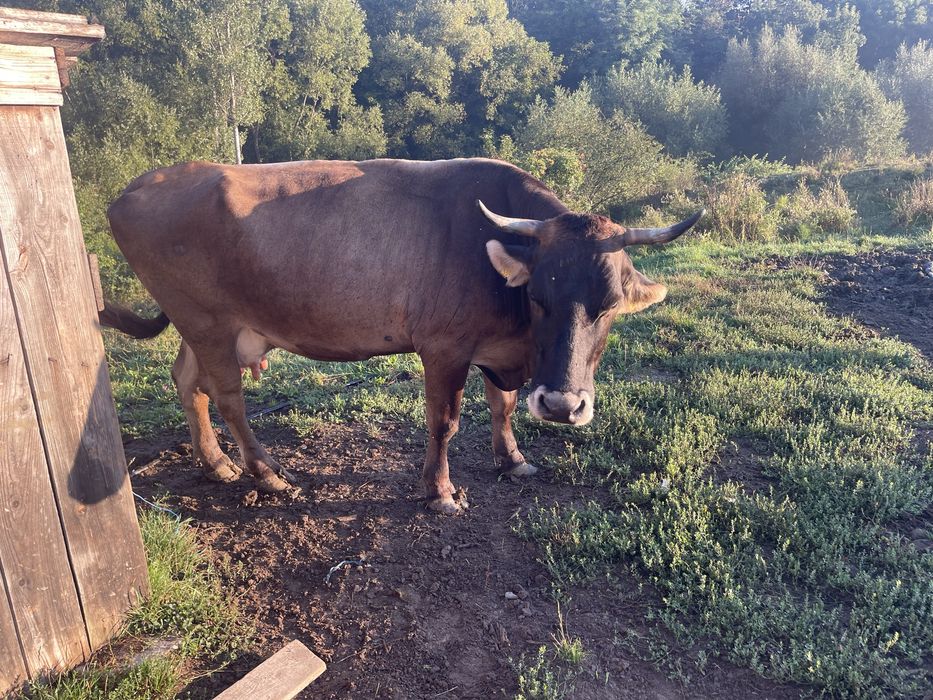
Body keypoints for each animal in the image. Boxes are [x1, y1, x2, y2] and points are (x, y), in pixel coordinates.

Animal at [101, 158, 702, 514]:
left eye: (611, 306)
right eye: (537, 297)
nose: (560, 405)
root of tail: (141, 184)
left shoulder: (495, 350)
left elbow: (503, 406)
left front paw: (512, 459)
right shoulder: (444, 347)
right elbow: (445, 421)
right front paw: (439, 491)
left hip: (204, 326)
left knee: (188, 383)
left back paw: (216, 463)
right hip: (205, 320)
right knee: (227, 396)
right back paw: (266, 474)